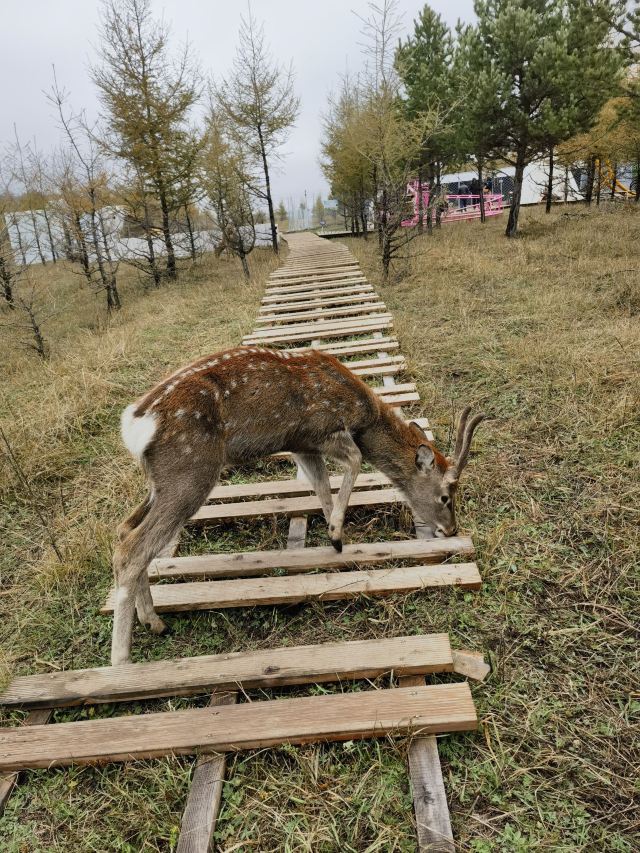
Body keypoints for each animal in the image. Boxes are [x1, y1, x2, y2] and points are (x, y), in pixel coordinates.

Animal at [112, 346, 484, 665]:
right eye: (446, 495)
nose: (452, 529)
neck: (363, 418)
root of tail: (132, 425)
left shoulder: (302, 445)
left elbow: (321, 487)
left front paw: (337, 539)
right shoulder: (321, 430)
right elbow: (354, 460)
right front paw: (336, 532)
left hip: (160, 482)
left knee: (124, 530)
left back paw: (153, 622)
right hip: (191, 471)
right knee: (133, 548)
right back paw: (123, 658)